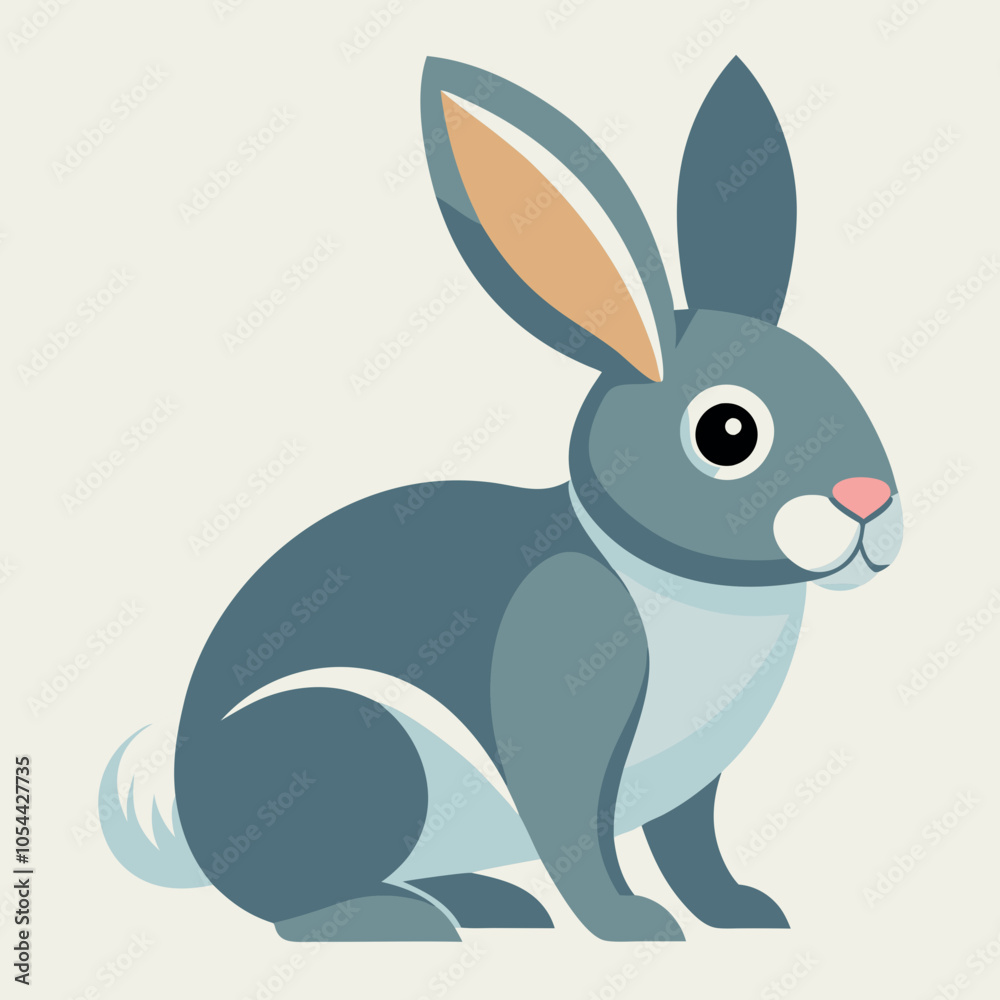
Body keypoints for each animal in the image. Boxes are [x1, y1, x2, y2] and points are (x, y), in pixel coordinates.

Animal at [101, 55, 902, 943]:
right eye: (728, 432)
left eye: (838, 387)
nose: (869, 501)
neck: (683, 583)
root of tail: (194, 841)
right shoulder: (560, 713)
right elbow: (578, 839)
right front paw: (634, 926)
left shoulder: (697, 788)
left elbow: (693, 848)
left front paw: (743, 914)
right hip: (360, 749)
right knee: (294, 910)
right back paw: (403, 921)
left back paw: (493, 907)